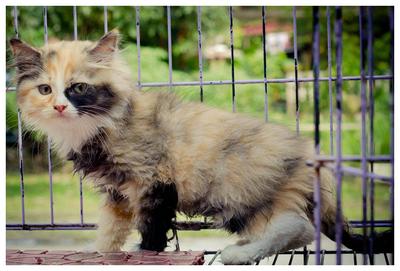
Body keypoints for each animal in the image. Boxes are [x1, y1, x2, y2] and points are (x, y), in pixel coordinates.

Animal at [10, 30, 394, 266]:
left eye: (77, 88)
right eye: (45, 89)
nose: (59, 107)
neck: (101, 125)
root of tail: (312, 158)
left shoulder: (154, 181)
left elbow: (151, 227)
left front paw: (146, 250)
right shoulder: (117, 194)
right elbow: (109, 230)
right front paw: (100, 253)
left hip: (236, 191)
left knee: (297, 227)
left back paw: (239, 254)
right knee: (295, 229)